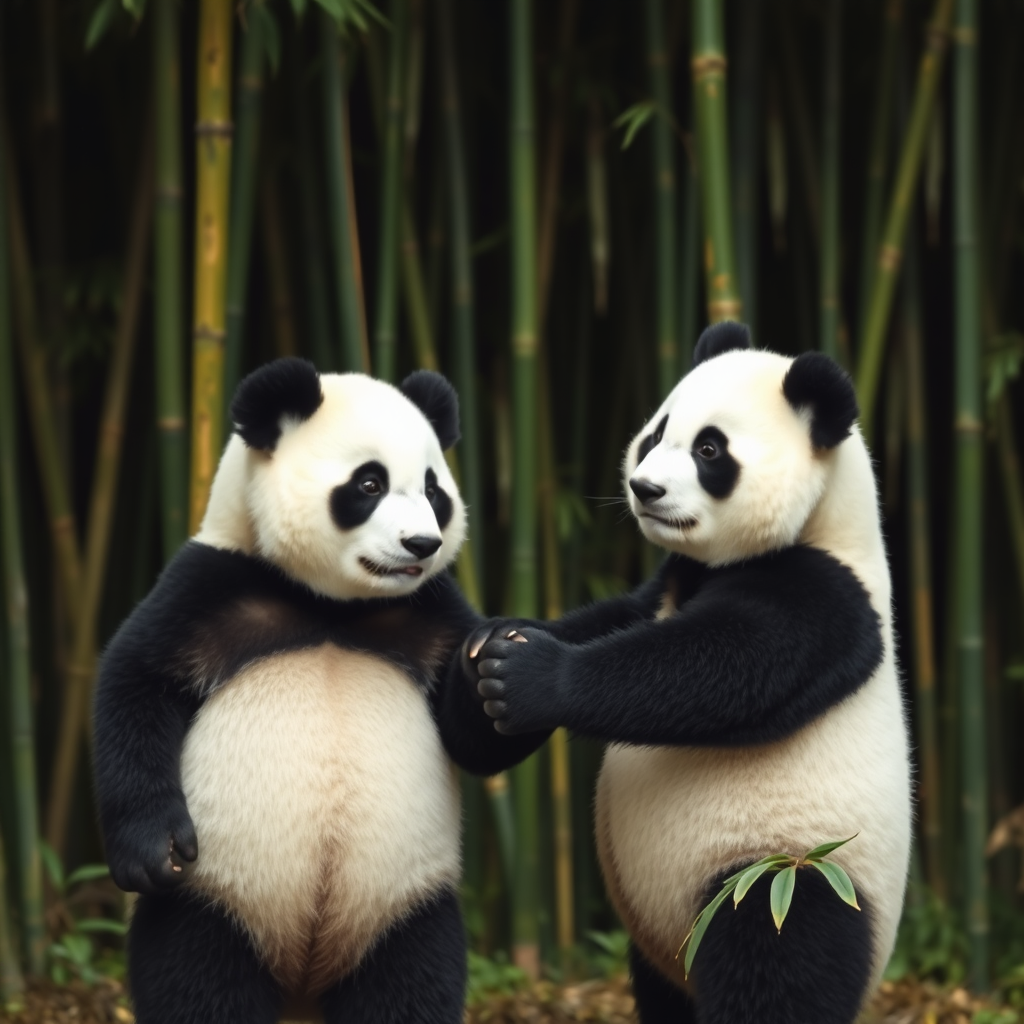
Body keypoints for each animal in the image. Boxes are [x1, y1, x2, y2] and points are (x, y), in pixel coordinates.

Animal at [92, 360, 532, 1024]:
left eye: (434, 491)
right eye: (370, 483)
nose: (422, 544)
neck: (331, 606)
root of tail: (301, 991)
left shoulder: (429, 610)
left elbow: (471, 741)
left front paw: (498, 665)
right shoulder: (209, 585)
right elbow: (135, 685)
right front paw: (151, 846)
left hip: (404, 904)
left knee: (410, 983)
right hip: (218, 896)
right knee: (197, 979)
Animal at [464, 321, 913, 1024]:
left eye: (709, 449)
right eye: (656, 433)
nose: (645, 488)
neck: (826, 519)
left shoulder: (830, 595)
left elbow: (724, 665)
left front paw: (530, 675)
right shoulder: (668, 582)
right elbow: (621, 619)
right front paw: (494, 643)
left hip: (794, 870)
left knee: (778, 966)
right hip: (661, 946)